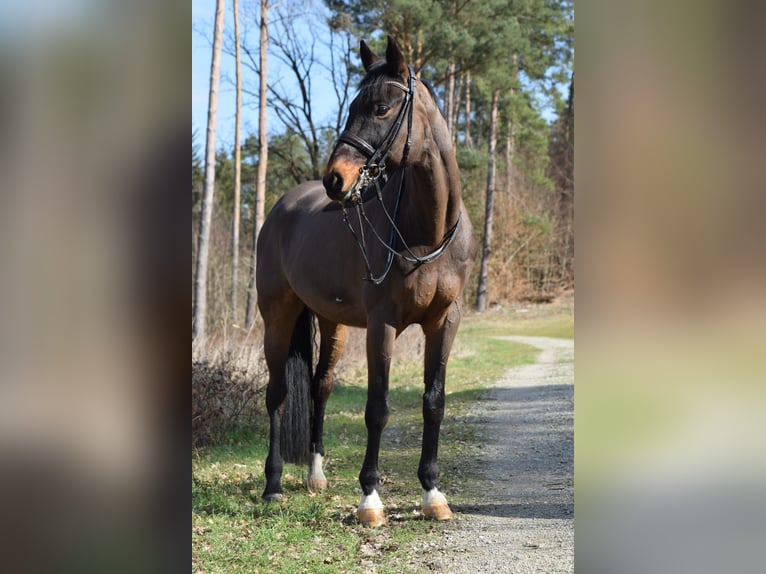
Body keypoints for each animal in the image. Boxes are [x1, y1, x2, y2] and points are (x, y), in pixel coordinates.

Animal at [255, 36, 476, 528]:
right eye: (352, 106)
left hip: (331, 321)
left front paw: (433, 494)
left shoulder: (445, 322)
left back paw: (316, 476)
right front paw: (370, 500)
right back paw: (273, 485)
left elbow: (434, 402)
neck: (428, 231)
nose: (336, 179)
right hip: (277, 315)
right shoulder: (383, 324)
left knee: (319, 386)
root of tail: (281, 208)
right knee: (278, 394)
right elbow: (377, 408)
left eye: (380, 108)